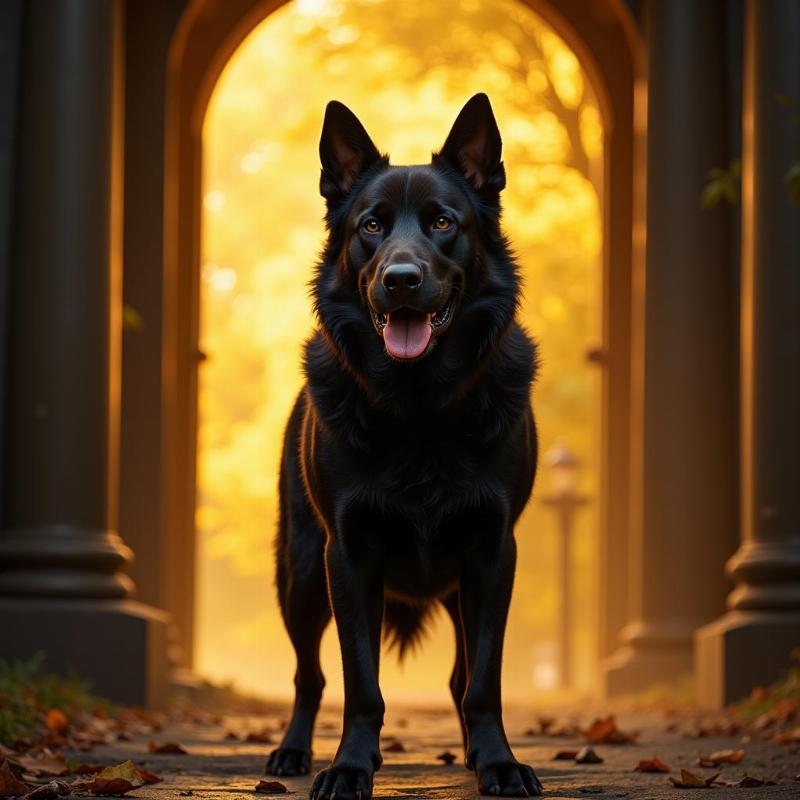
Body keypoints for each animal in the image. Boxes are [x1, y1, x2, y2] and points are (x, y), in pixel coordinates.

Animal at [266, 95, 540, 800]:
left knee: (460, 677)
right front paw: (349, 767)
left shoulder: (494, 552)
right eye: (371, 225)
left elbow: (484, 681)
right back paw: (292, 751)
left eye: (443, 221)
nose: (402, 279)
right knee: (308, 676)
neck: (420, 407)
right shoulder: (346, 555)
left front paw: (498, 762)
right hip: (299, 576)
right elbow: (360, 683)